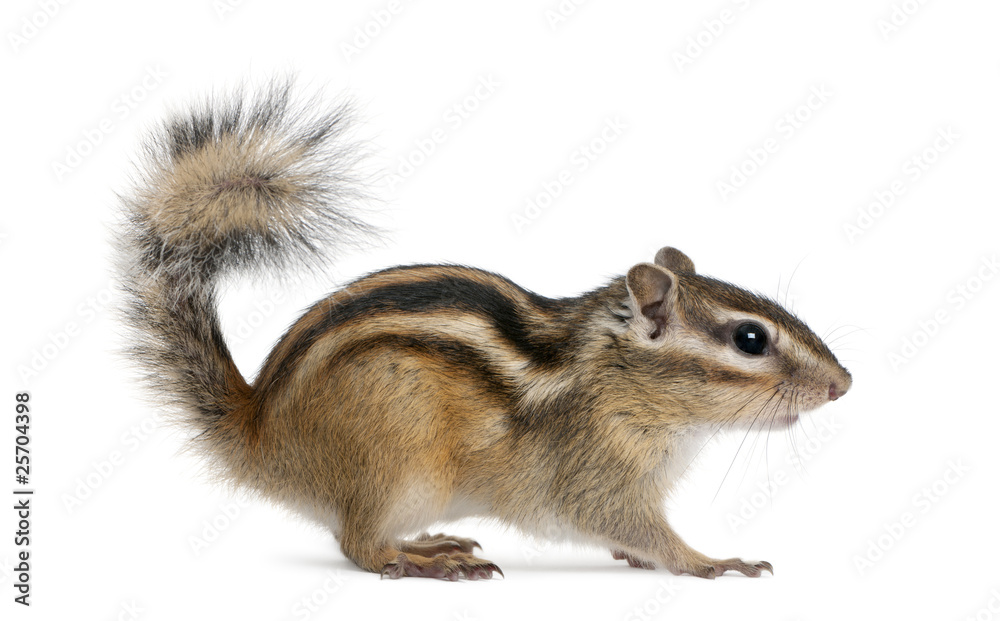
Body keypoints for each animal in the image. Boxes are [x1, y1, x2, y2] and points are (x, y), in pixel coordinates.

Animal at [116, 81, 851, 581]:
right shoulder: (596, 472)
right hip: (396, 462)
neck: (616, 376)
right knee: (359, 546)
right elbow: (634, 526)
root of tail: (258, 433)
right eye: (750, 339)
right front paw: (712, 561)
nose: (843, 385)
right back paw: (427, 560)